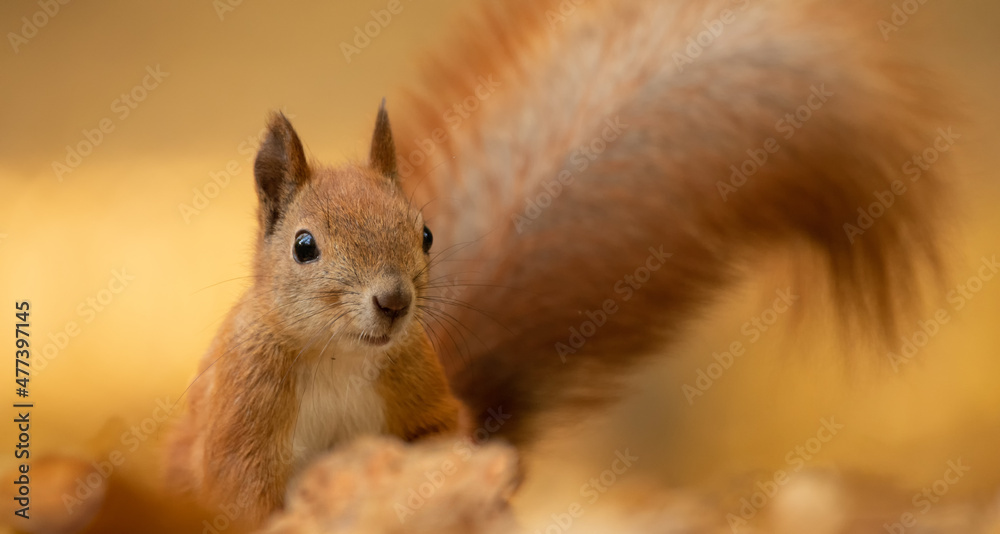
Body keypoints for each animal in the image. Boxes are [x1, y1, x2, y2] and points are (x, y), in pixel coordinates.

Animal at [164, 0, 944, 528]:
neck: (338, 357)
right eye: (304, 245)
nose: (394, 302)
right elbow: (240, 496)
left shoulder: (419, 389)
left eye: (425, 233)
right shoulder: (241, 418)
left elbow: (444, 436)